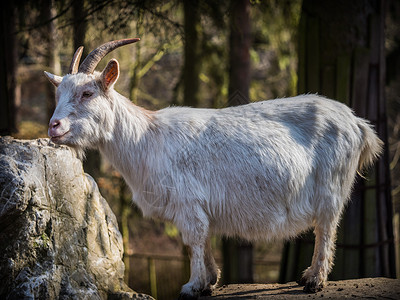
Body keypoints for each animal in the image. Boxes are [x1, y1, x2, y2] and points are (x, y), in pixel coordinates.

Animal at [44, 38, 384, 298]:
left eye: (87, 93)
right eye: (58, 94)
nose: (53, 127)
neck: (147, 139)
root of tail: (358, 124)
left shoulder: (188, 201)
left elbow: (193, 239)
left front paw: (192, 286)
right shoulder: (198, 206)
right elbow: (203, 239)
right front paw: (210, 280)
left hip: (331, 186)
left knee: (326, 227)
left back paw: (314, 279)